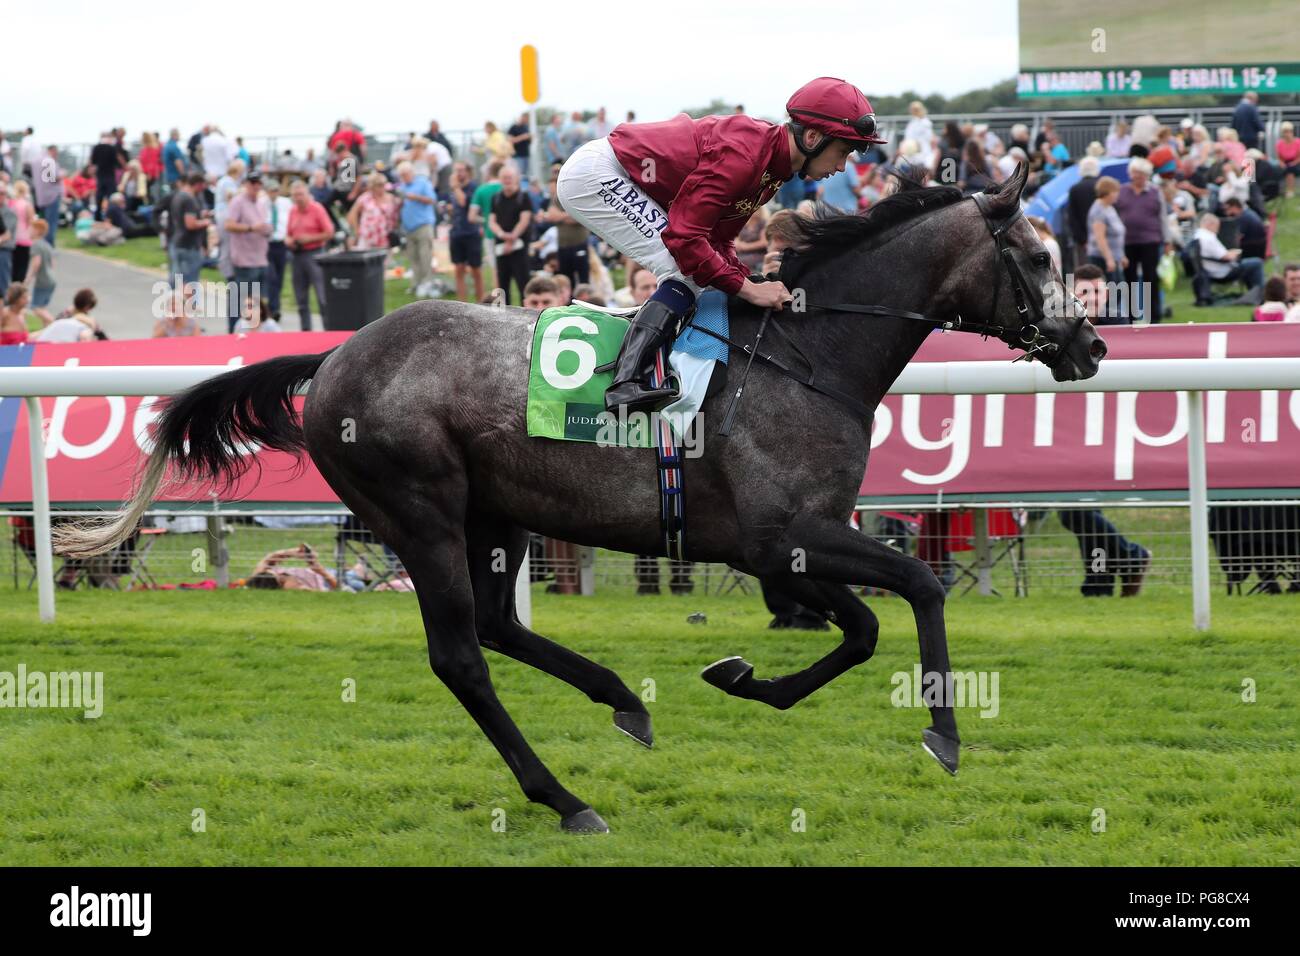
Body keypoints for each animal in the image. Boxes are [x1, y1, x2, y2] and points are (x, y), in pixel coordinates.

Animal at [55, 166, 1102, 837]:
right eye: (1036, 258)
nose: (1089, 346)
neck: (810, 359)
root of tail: (339, 351)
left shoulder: (794, 547)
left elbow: (861, 628)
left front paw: (742, 677)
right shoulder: (781, 540)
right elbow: (912, 593)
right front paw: (943, 734)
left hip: (497, 514)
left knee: (497, 625)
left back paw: (620, 702)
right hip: (420, 510)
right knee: (461, 656)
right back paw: (563, 798)